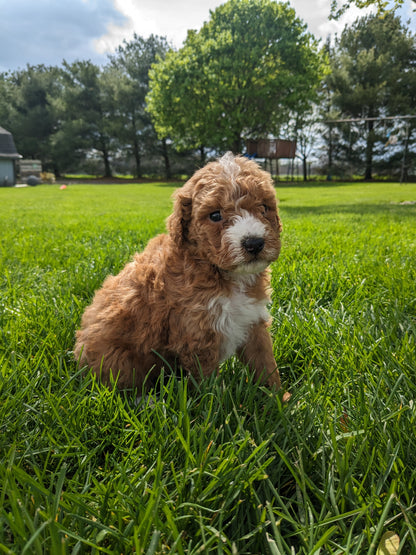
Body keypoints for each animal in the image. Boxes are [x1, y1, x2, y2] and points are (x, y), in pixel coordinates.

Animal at [73, 153, 284, 390]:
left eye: (264, 208)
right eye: (215, 215)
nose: (254, 243)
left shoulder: (253, 320)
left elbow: (265, 363)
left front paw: (279, 397)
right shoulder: (198, 336)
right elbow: (209, 386)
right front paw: (216, 399)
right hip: (117, 359)